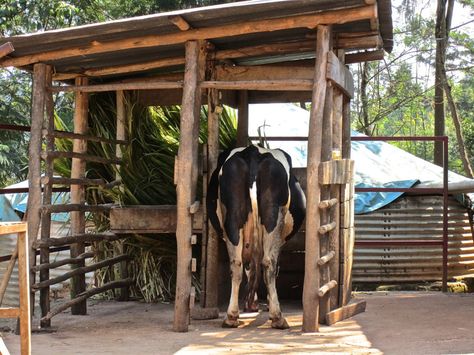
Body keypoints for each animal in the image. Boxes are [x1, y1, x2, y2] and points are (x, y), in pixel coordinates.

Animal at [208, 145, 308, 330]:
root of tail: (253, 151)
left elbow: (250, 269)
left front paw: (251, 303)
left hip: (233, 218)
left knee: (237, 264)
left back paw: (231, 317)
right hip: (273, 217)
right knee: (268, 263)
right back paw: (277, 317)